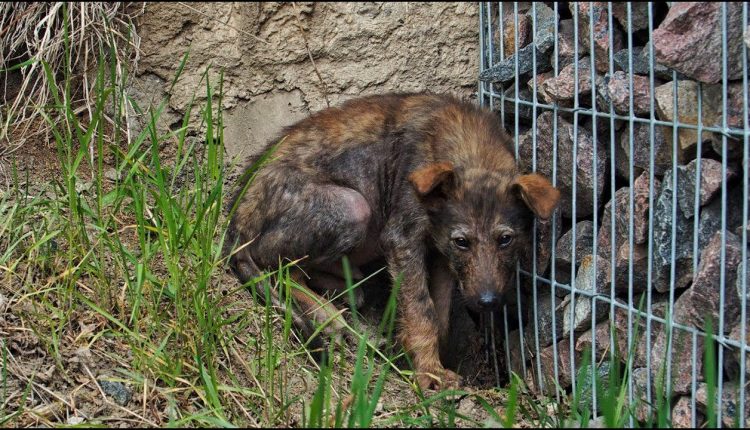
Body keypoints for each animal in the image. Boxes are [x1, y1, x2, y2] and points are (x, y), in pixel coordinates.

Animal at [226, 92, 560, 392]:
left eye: (505, 239)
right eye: (462, 241)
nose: (487, 302)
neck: (470, 149)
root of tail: (237, 214)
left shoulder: (441, 254)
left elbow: (439, 314)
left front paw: (428, 360)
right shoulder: (403, 239)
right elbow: (421, 310)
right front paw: (429, 373)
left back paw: (343, 288)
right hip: (351, 207)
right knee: (276, 264)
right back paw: (328, 315)